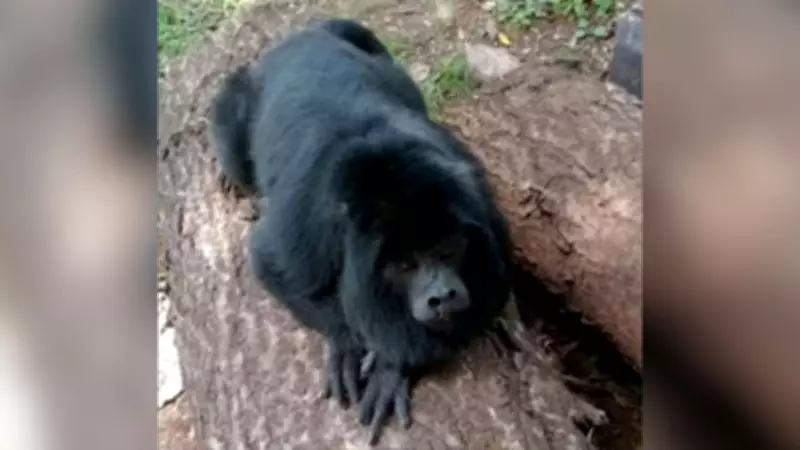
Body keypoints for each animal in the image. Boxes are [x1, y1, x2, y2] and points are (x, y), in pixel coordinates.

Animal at [210, 18, 514, 445]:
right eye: (404, 265)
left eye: (450, 249)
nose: (441, 295)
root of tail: (306, 34)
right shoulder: (306, 225)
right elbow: (270, 264)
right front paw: (349, 344)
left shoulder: (479, 201)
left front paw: (392, 365)